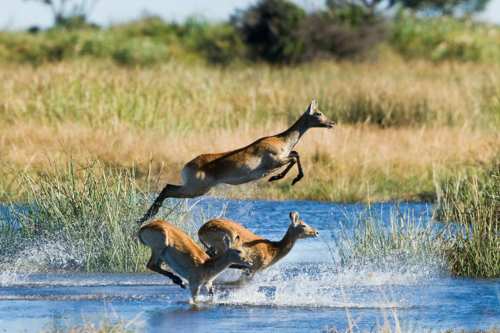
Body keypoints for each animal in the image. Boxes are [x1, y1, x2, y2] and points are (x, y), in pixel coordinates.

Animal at [136, 98, 336, 223]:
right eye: (318, 113)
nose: (332, 123)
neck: (282, 140)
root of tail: (187, 166)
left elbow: (296, 153)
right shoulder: (275, 161)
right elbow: (295, 156)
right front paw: (281, 178)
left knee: (167, 187)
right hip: (195, 189)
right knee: (167, 188)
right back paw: (145, 217)